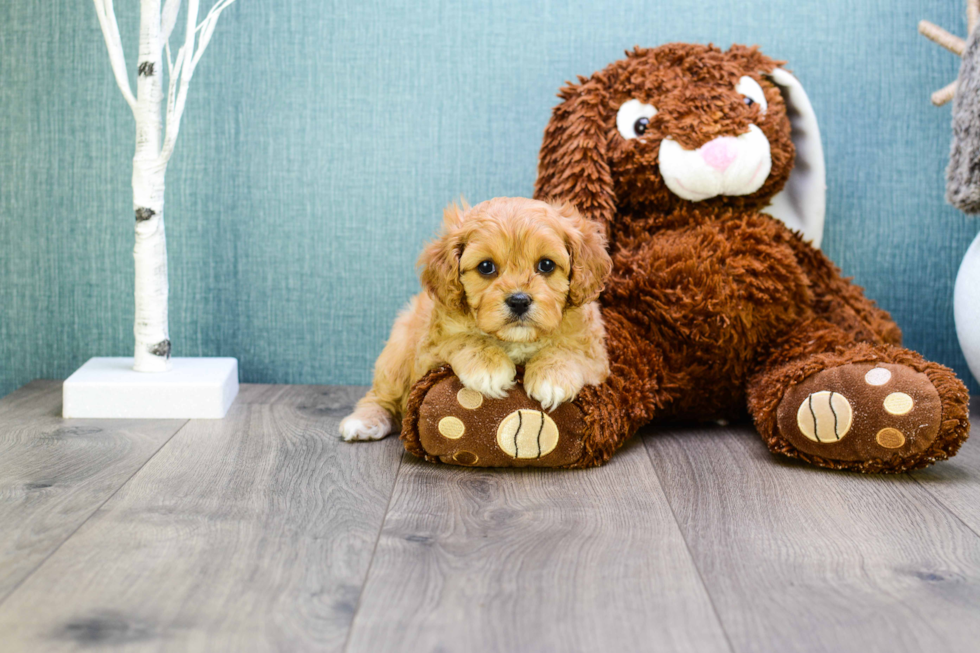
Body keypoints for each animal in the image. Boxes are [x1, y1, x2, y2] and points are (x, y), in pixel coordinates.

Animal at [340, 196, 608, 440]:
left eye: (546, 265)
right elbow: (465, 339)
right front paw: (489, 368)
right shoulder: (429, 350)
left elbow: (568, 350)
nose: (519, 301)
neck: (515, 340)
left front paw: (551, 378)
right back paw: (363, 421)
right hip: (397, 351)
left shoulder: (597, 355)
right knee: (382, 395)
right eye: (486, 267)